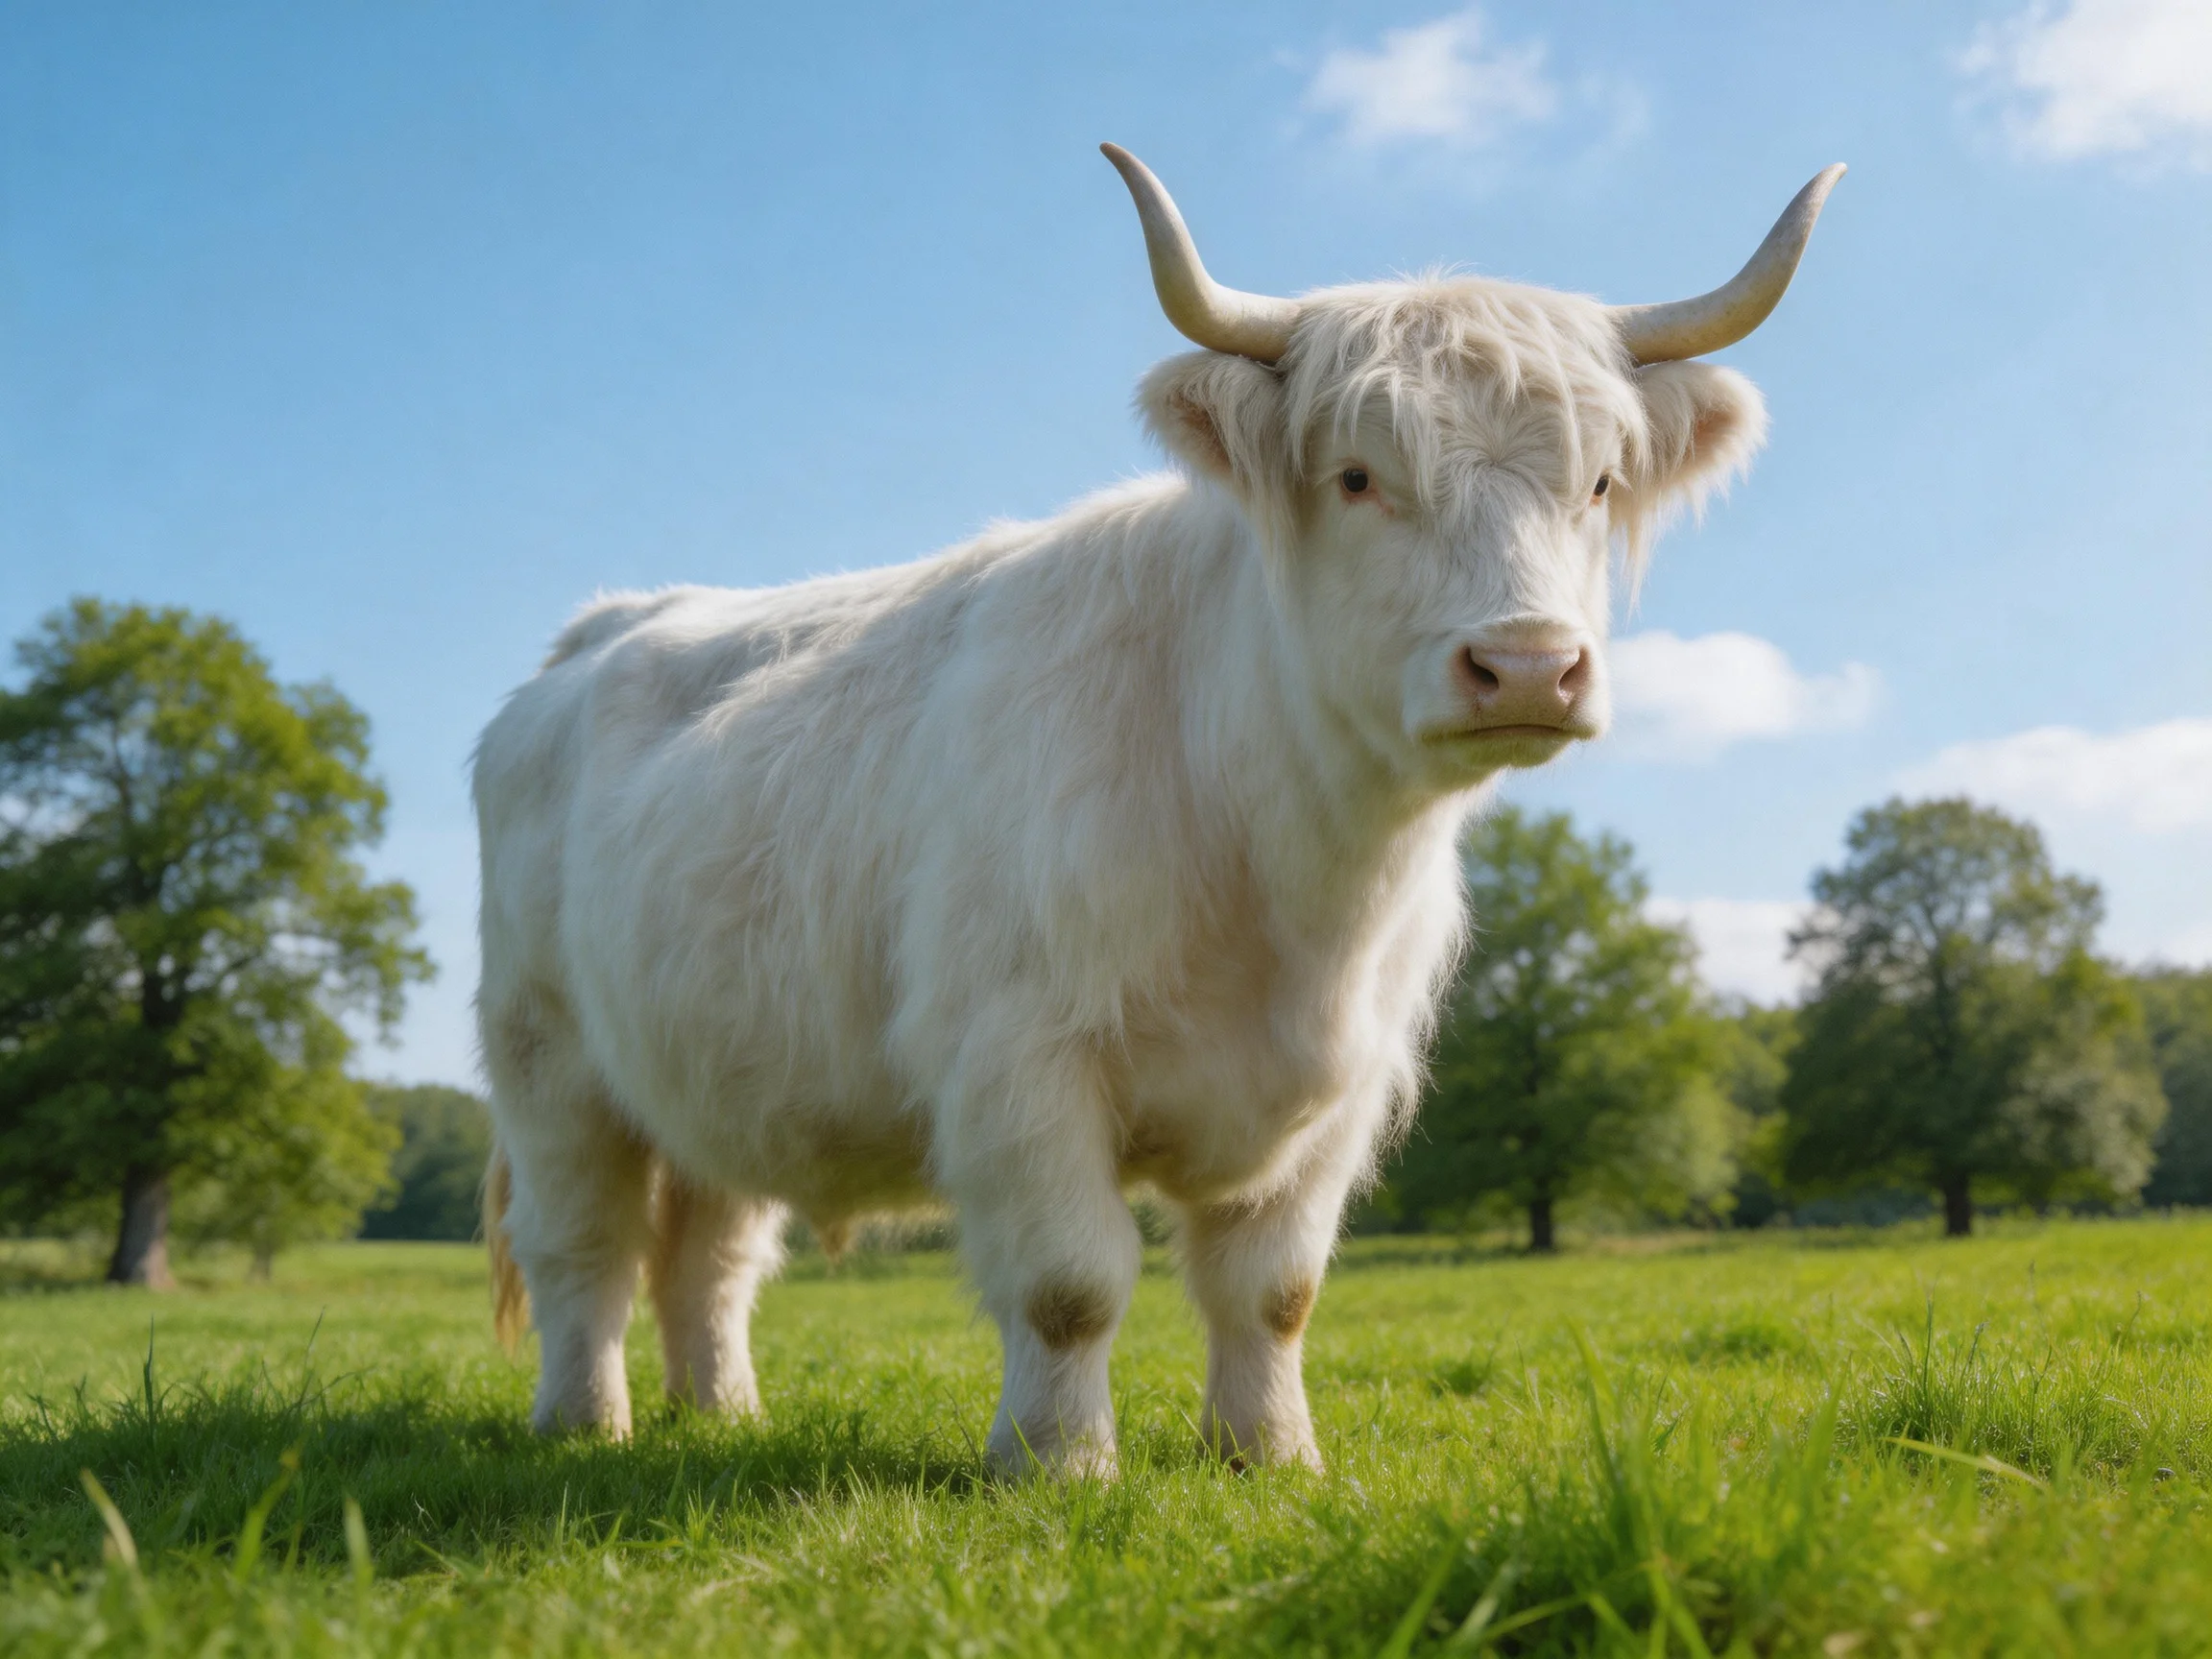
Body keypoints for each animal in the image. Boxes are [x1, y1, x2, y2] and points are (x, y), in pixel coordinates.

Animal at [473, 144, 1841, 1475]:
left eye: (1600, 483)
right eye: (1358, 477)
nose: (1525, 666)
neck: (1289, 883)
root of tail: (602, 630)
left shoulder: (1335, 1096)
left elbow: (1274, 1292)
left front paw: (1271, 1455)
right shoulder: (1019, 1059)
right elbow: (1072, 1284)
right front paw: (1060, 1464)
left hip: (718, 1070)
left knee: (708, 1255)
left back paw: (725, 1417)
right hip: (550, 1064)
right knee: (584, 1248)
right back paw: (584, 1425)